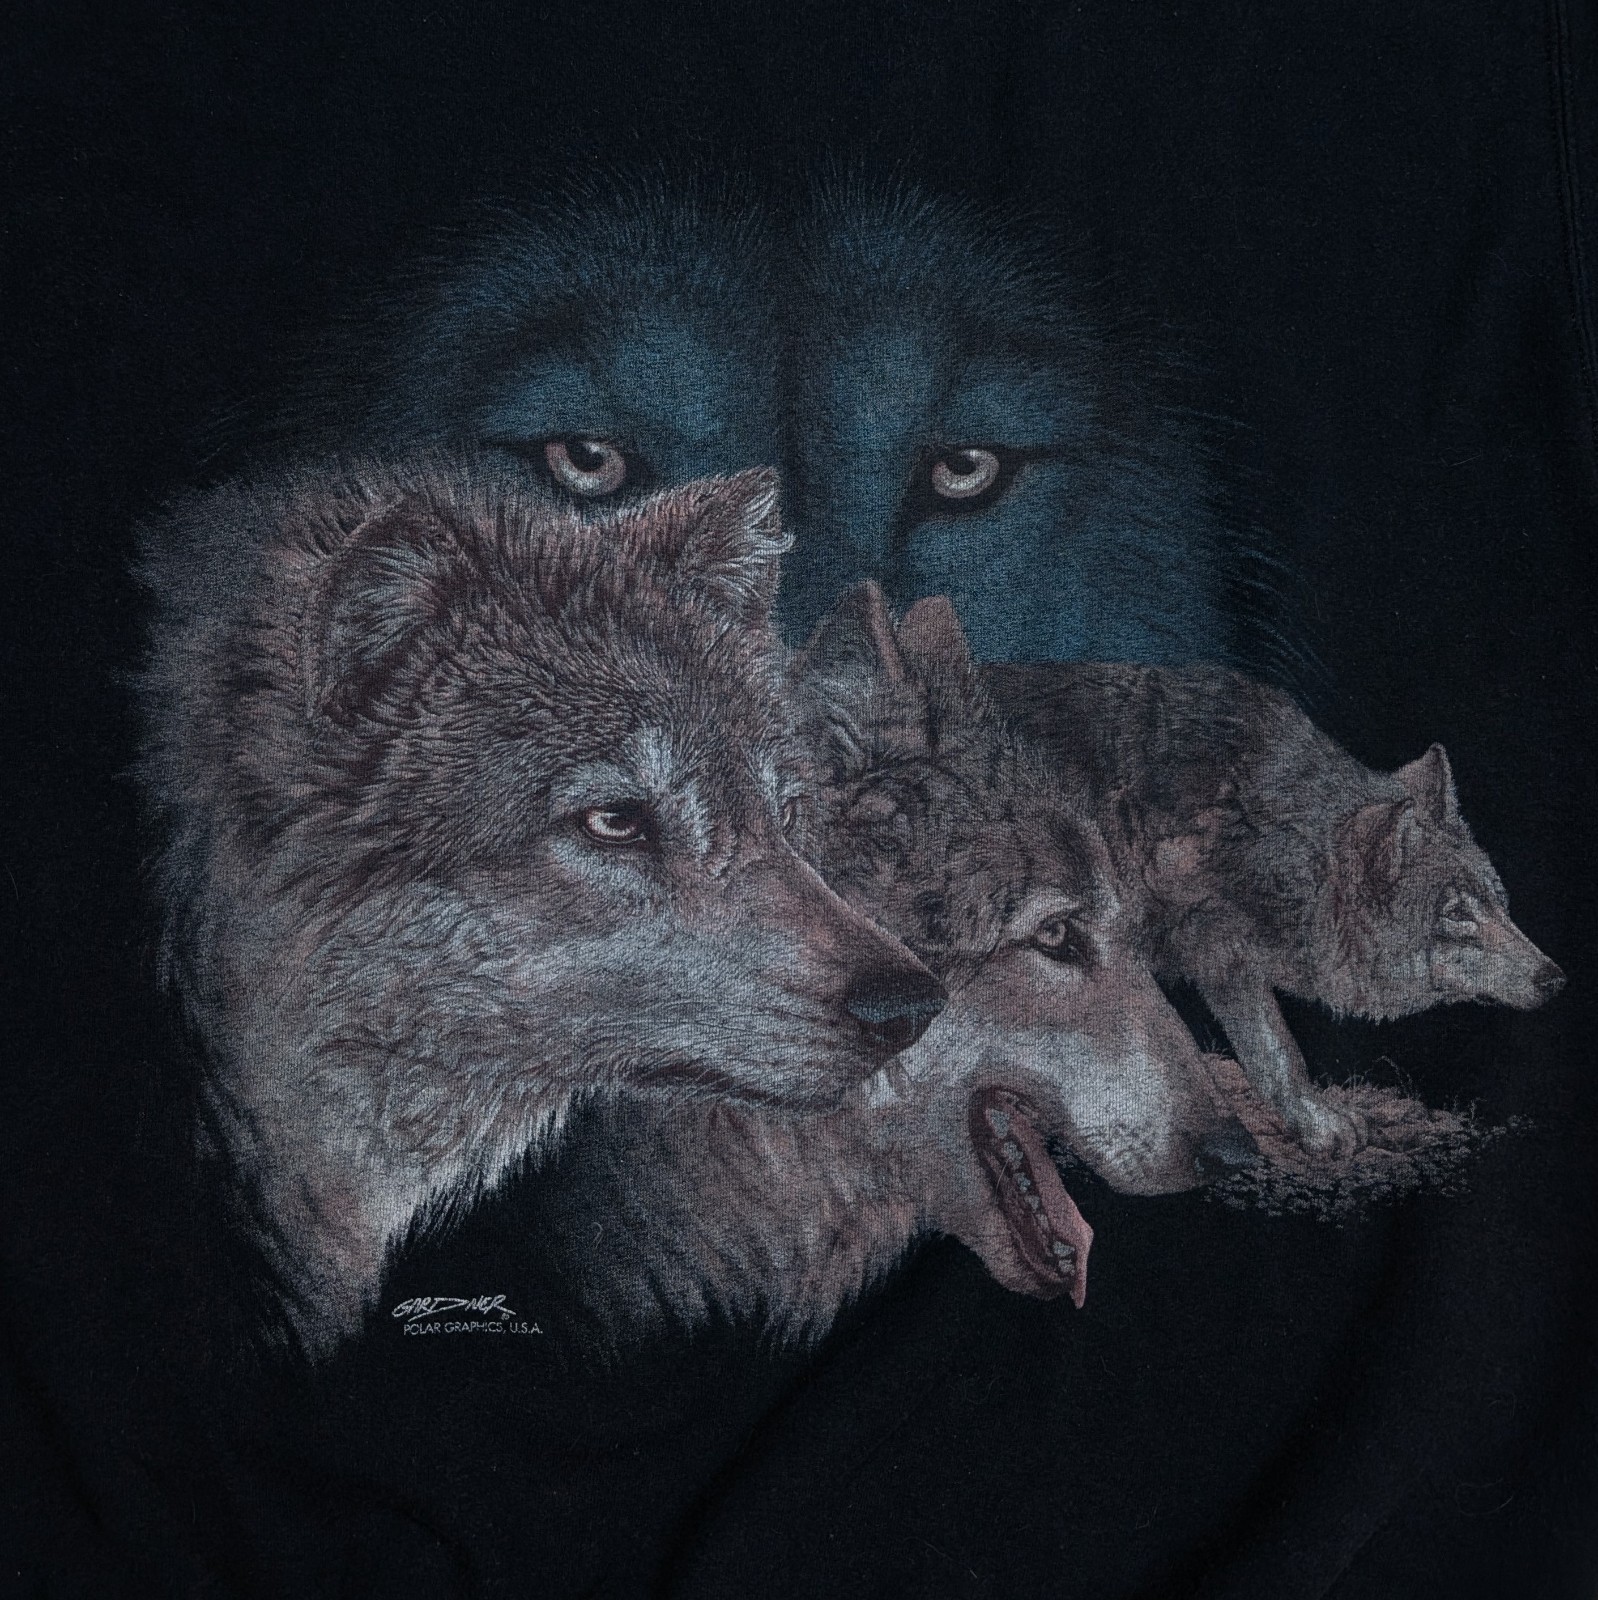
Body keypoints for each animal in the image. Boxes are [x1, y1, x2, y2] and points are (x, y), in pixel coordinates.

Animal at [985, 662, 1566, 1157]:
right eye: (1457, 915)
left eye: (1501, 905)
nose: (1556, 979)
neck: (1253, 830)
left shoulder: (1227, 959)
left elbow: (1276, 1055)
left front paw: (1314, 1122)